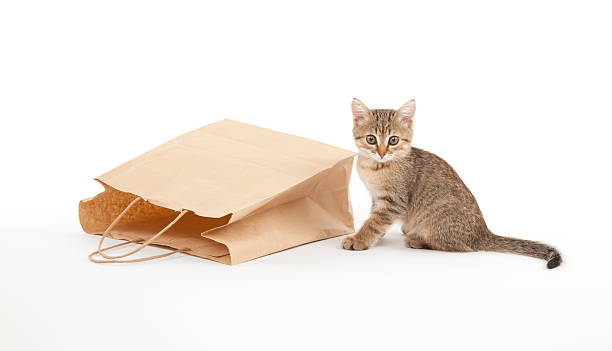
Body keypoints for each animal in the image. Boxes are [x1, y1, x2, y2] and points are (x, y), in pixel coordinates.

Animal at [342, 99, 560, 270]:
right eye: (371, 139)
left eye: (393, 140)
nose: (381, 152)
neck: (376, 167)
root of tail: (483, 233)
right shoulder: (377, 197)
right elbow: (375, 217)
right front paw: (375, 236)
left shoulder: (394, 201)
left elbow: (374, 222)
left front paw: (359, 239)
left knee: (460, 247)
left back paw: (416, 239)